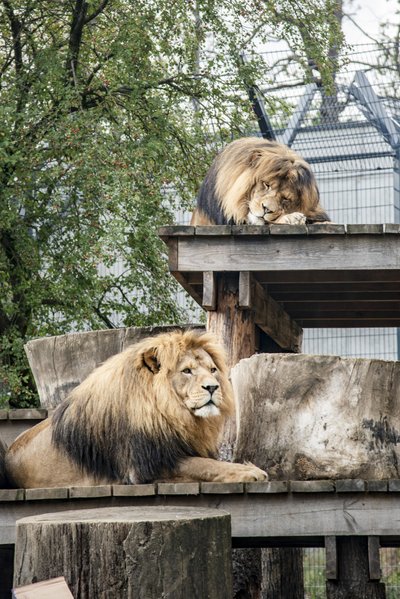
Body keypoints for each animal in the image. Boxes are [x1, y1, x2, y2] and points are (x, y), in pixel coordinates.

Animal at [3, 330, 268, 490]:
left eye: (212, 370)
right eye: (187, 371)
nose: (213, 387)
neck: (172, 414)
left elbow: (209, 462)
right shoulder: (146, 468)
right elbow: (205, 466)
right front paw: (251, 471)